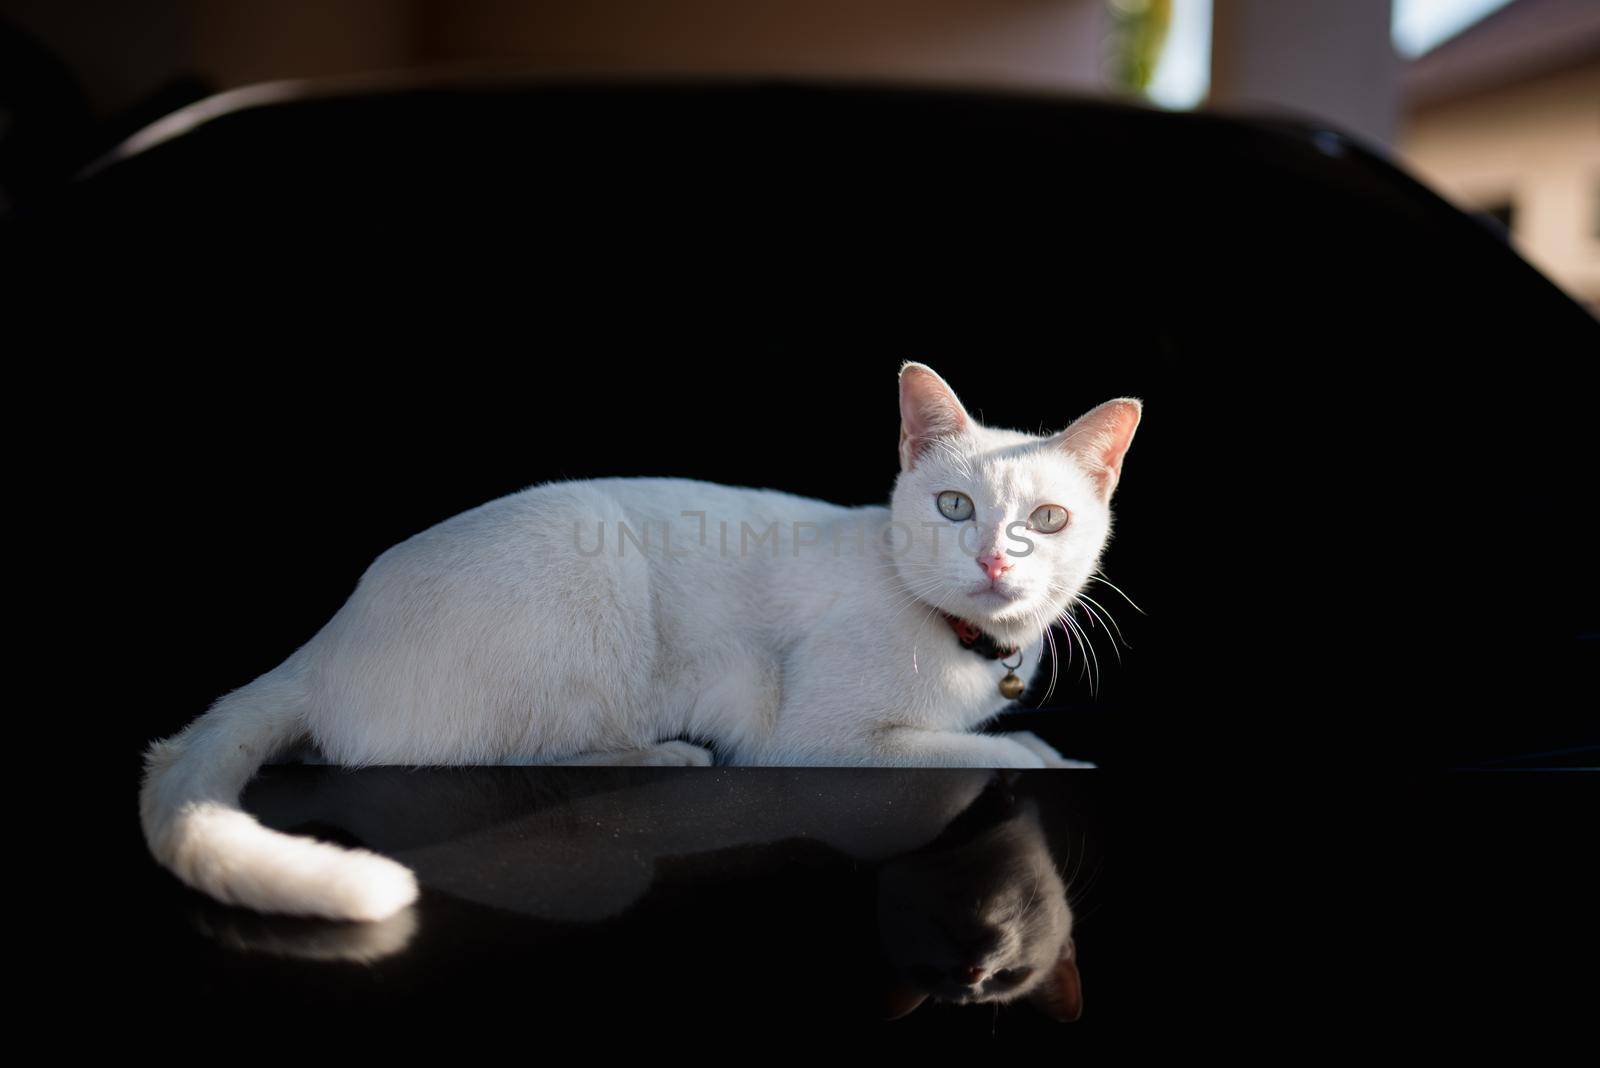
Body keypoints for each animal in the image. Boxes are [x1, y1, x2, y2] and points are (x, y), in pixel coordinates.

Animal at [137, 362, 1139, 920]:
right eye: (955, 507)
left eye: (1047, 520)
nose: (994, 559)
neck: (974, 648)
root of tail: (325, 642)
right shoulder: (822, 739)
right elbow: (1002, 750)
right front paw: (1053, 756)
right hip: (586, 563)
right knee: (504, 754)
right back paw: (672, 754)